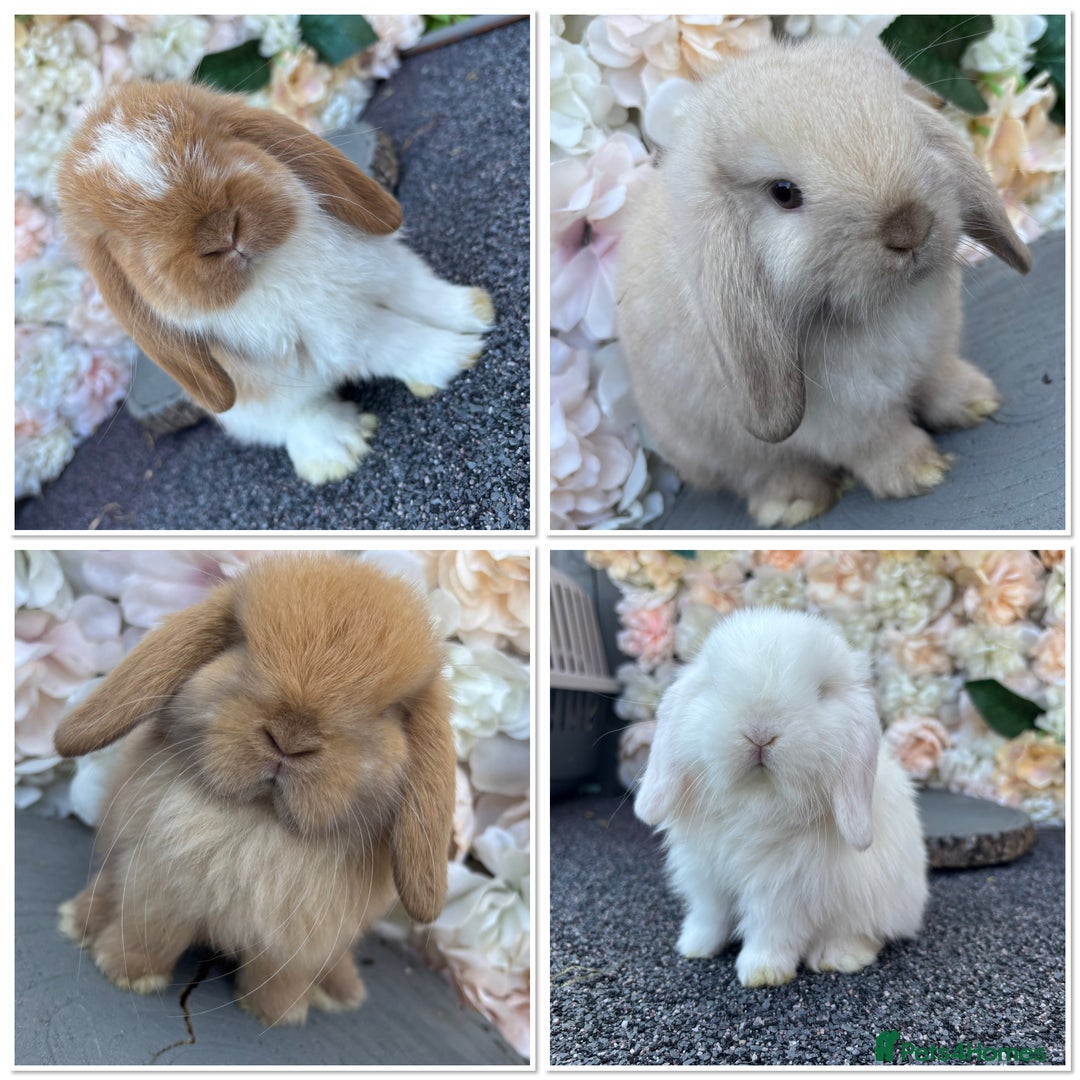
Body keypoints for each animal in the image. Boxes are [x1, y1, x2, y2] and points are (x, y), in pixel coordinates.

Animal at [53, 553, 457, 1026]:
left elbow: (280, 977)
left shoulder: (299, 942)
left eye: (389, 711)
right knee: (108, 887)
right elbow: (148, 933)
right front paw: (125, 973)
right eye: (241, 645)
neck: (262, 821)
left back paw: (342, 990)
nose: (289, 738)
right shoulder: (157, 888)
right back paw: (79, 920)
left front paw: (279, 1014)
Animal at [56, 80, 495, 484]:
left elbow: (419, 290)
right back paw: (339, 451)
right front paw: (457, 354)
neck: (272, 268)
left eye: (220, 139)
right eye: (121, 236)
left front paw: (476, 310)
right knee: (295, 421)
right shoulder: (344, 336)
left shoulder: (380, 267)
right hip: (260, 404)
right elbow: (398, 339)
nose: (220, 231)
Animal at [617, 36, 1032, 527]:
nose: (909, 226)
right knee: (759, 474)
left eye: (909, 126)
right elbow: (878, 441)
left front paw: (977, 401)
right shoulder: (845, 418)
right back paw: (793, 505)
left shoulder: (934, 356)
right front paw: (922, 471)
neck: (887, 309)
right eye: (784, 193)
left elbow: (940, 383)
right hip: (723, 451)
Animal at [634, 607, 928, 987]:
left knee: (863, 932)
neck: (754, 801)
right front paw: (694, 946)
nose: (760, 732)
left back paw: (838, 957)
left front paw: (762, 973)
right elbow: (709, 915)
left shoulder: (782, 891)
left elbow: (770, 930)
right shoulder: (707, 877)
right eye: (713, 684)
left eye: (822, 691)